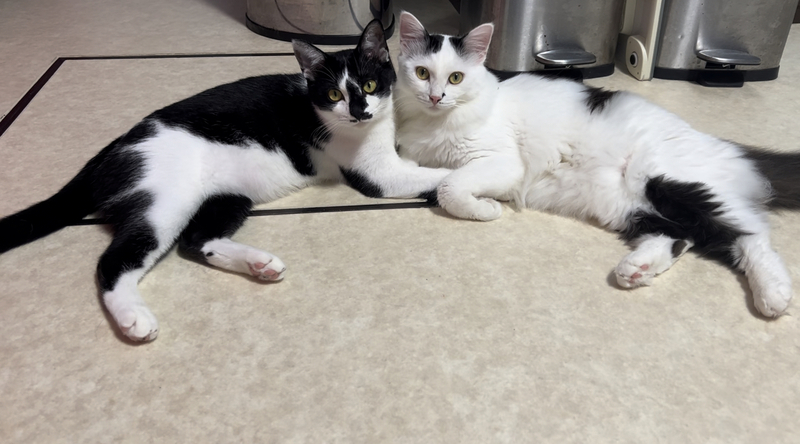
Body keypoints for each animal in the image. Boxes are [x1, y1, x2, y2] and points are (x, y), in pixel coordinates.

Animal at [0, 20, 450, 342]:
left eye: (371, 84)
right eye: (334, 96)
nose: (359, 112)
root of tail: (111, 149)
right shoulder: (378, 174)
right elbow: (437, 175)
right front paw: (460, 179)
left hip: (228, 195)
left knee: (196, 239)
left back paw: (257, 263)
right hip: (166, 197)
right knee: (115, 260)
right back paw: (134, 317)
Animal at [393, 11, 800, 318]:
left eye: (456, 77)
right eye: (422, 73)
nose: (436, 97)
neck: (437, 123)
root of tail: (725, 146)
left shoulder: (502, 162)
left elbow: (451, 188)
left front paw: (485, 209)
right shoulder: (415, 153)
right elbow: (424, 172)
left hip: (669, 182)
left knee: (748, 235)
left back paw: (773, 293)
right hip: (631, 208)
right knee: (683, 236)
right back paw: (636, 270)